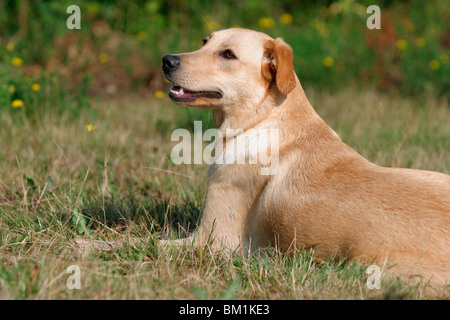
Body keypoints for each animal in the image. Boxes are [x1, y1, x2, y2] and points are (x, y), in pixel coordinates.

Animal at [162, 28, 450, 296]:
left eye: (228, 55)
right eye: (204, 41)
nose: (167, 60)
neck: (259, 119)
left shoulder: (212, 240)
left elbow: (154, 242)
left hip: (367, 264)